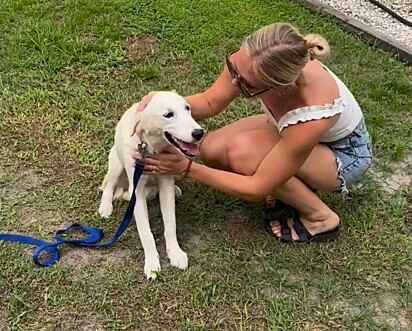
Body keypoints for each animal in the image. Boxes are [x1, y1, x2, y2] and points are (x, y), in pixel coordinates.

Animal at [98, 91, 204, 280]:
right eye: (168, 115)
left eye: (187, 108)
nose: (199, 133)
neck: (151, 148)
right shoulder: (137, 192)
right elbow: (146, 233)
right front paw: (152, 264)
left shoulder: (166, 181)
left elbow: (170, 224)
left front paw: (175, 253)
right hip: (116, 163)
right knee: (109, 185)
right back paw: (105, 207)